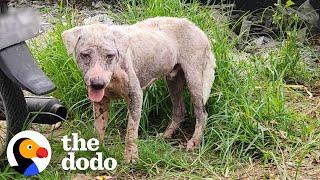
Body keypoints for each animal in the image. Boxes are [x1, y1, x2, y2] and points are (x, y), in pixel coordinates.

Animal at [61, 16, 216, 163]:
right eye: (85, 55)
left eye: (110, 56)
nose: (97, 84)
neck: (114, 74)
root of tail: (198, 29)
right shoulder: (101, 101)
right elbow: (99, 127)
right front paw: (95, 152)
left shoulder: (135, 95)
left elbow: (131, 130)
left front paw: (131, 157)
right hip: (173, 80)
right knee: (179, 110)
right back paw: (166, 135)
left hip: (194, 79)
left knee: (202, 114)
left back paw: (194, 142)